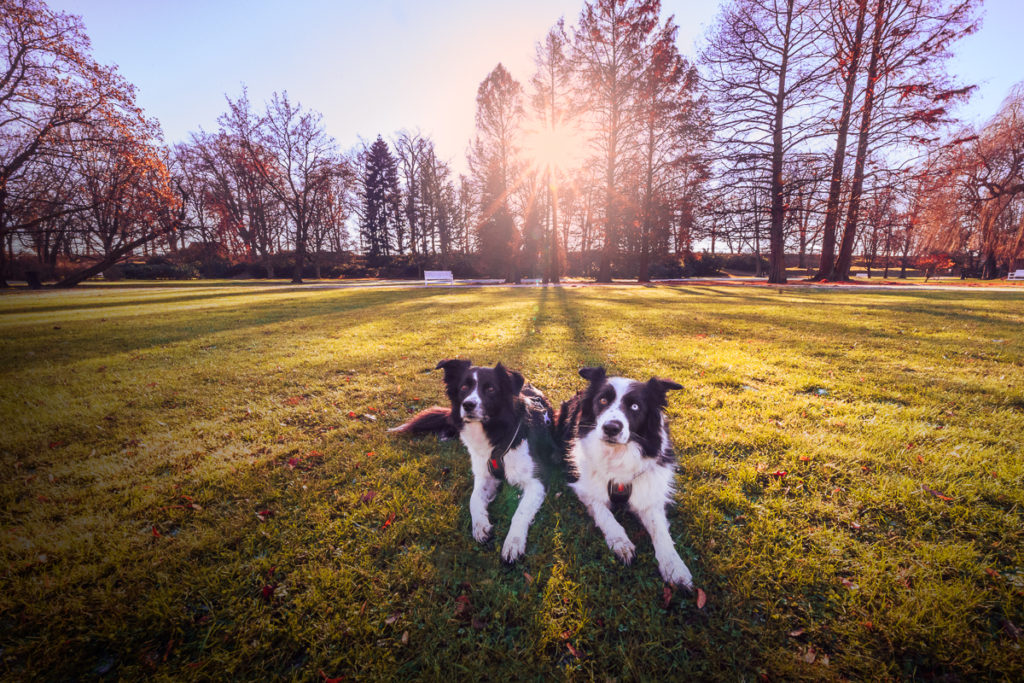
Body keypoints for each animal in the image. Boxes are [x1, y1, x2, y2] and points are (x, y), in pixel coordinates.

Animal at [389, 360, 552, 565]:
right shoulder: (484, 474)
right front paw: (480, 525)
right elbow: (474, 499)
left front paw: (513, 543)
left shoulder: (537, 480)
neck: (496, 433)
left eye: (491, 389)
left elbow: (520, 512)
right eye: (464, 388)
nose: (468, 405)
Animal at [557, 368, 692, 589]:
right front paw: (620, 541)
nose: (611, 428)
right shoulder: (585, 487)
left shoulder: (648, 494)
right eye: (603, 400)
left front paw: (674, 566)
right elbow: (604, 513)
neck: (617, 454)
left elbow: (660, 531)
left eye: (635, 406)